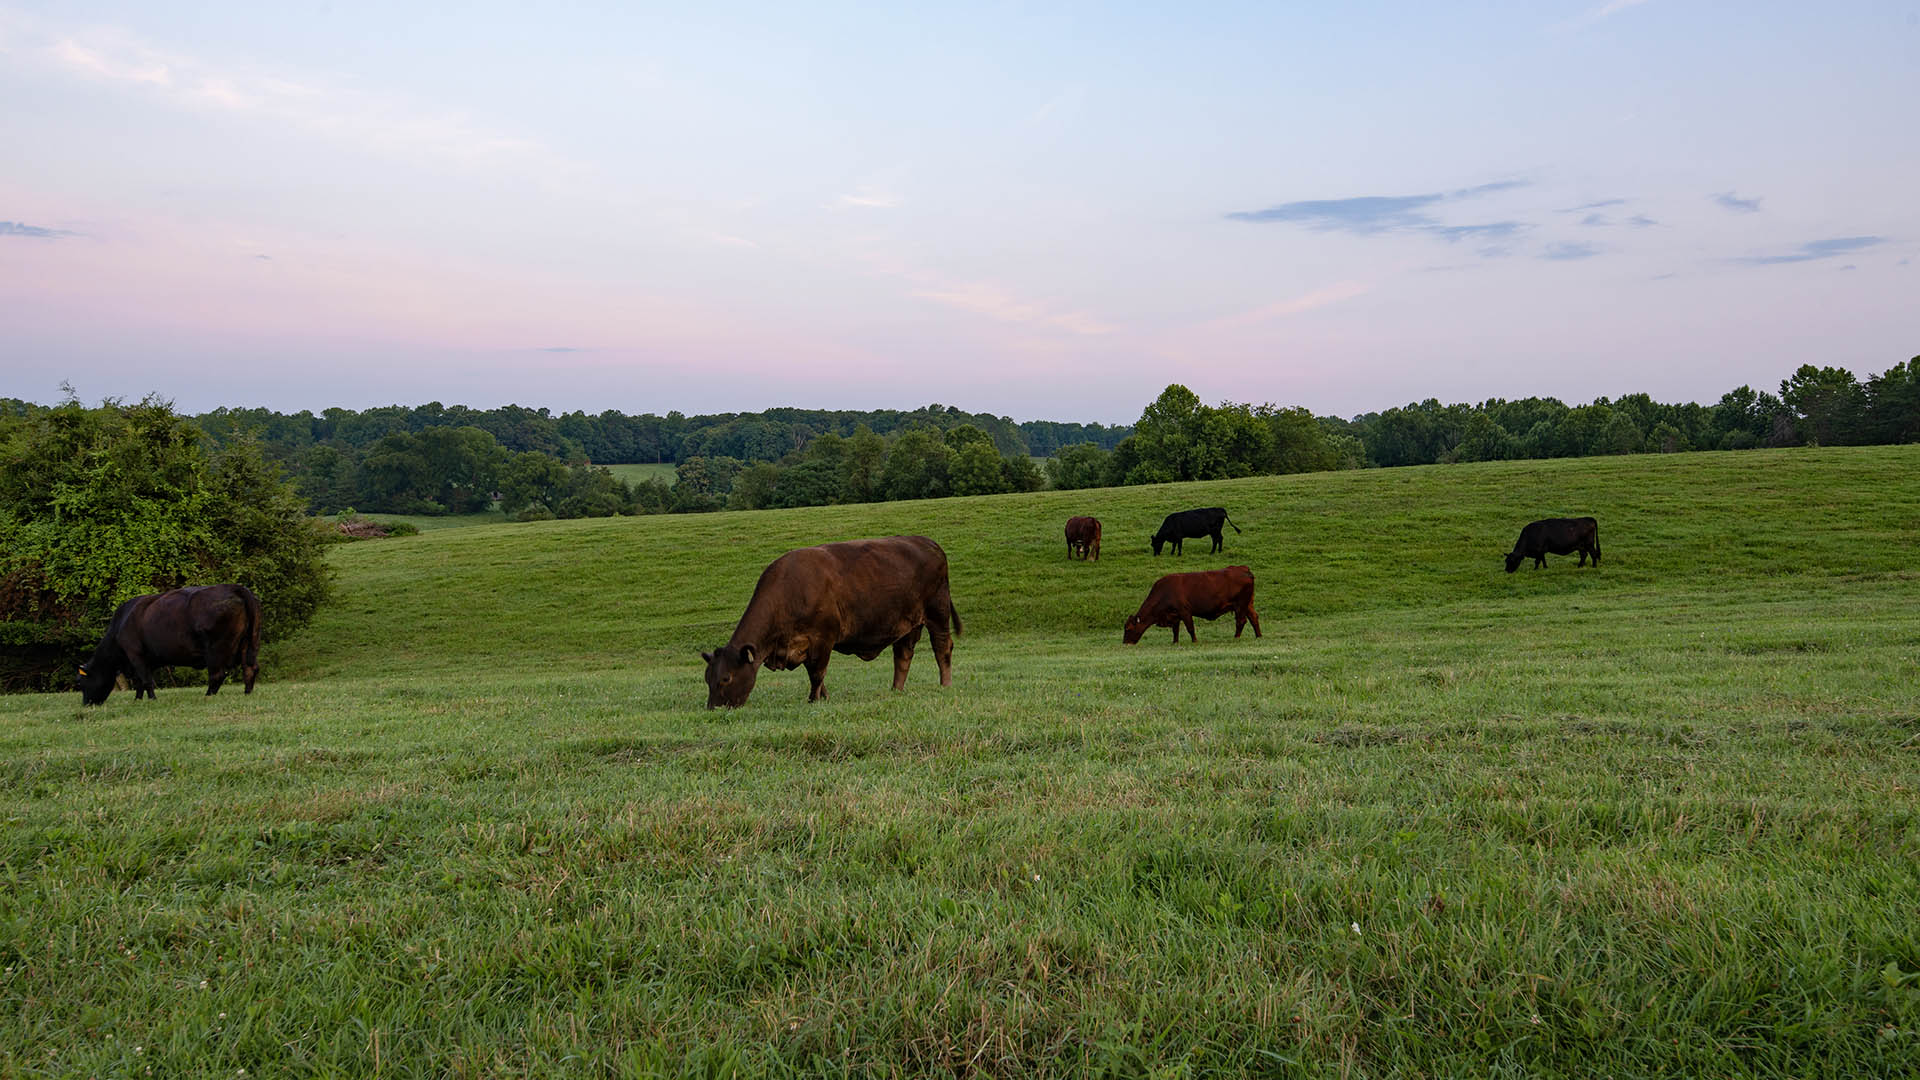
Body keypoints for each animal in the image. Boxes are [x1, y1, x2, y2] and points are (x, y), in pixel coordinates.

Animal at [74, 580, 261, 707]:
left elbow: (145, 680)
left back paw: (208, 696)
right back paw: (247, 693)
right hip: (247, 642)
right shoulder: (145, 660)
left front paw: (151, 699)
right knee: (249, 668)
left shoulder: (135, 653)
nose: (86, 704)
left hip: (216, 649)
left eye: (80, 683)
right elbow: (140, 681)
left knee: (217, 674)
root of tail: (233, 587)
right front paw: (137, 699)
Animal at [702, 530, 960, 707]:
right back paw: (896, 690)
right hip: (907, 624)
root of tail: (926, 542)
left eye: (726, 678)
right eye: (707, 679)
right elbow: (816, 673)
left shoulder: (823, 638)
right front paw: (823, 697)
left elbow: (817, 673)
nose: (714, 709)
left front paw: (813, 700)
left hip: (937, 613)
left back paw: (946, 685)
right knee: (903, 655)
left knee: (942, 648)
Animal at [1121, 568, 1267, 641]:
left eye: (1128, 629)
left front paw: (1194, 641)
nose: (1125, 643)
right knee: (1254, 618)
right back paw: (1258, 636)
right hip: (1248, 604)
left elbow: (1190, 628)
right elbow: (1175, 630)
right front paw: (1175, 642)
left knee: (1241, 621)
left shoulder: (1185, 611)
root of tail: (1244, 570)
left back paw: (1236, 638)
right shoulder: (1174, 615)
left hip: (1240, 605)